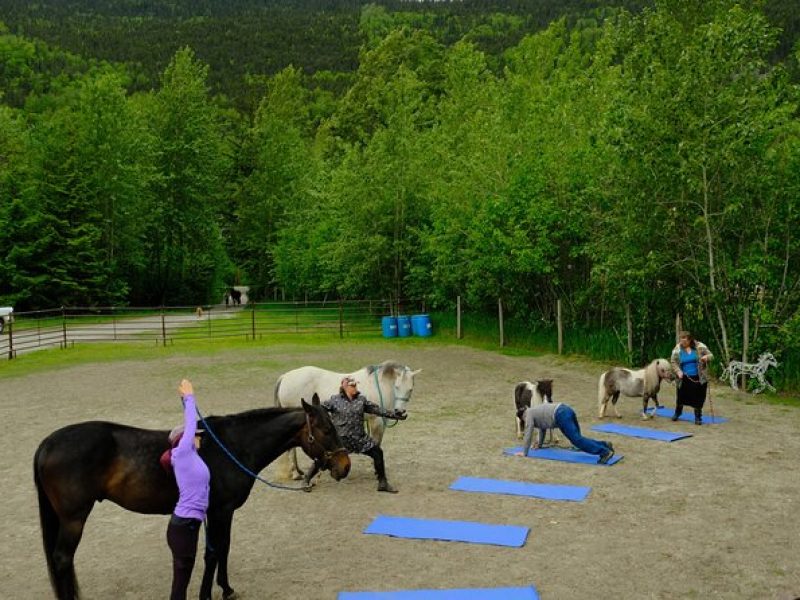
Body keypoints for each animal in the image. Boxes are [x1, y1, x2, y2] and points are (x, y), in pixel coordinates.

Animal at [33, 396, 350, 596]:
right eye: (325, 429)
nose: (344, 466)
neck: (233, 446)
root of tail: (48, 443)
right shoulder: (219, 511)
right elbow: (213, 553)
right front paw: (208, 594)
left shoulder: (224, 512)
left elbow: (224, 548)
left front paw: (227, 589)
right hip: (74, 519)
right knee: (62, 559)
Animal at [274, 358, 422, 480]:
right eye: (397, 387)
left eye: (410, 389)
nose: (399, 412)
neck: (379, 385)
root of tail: (285, 377)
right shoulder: (376, 422)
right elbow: (377, 443)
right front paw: (376, 470)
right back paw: (295, 474)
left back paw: (298, 472)